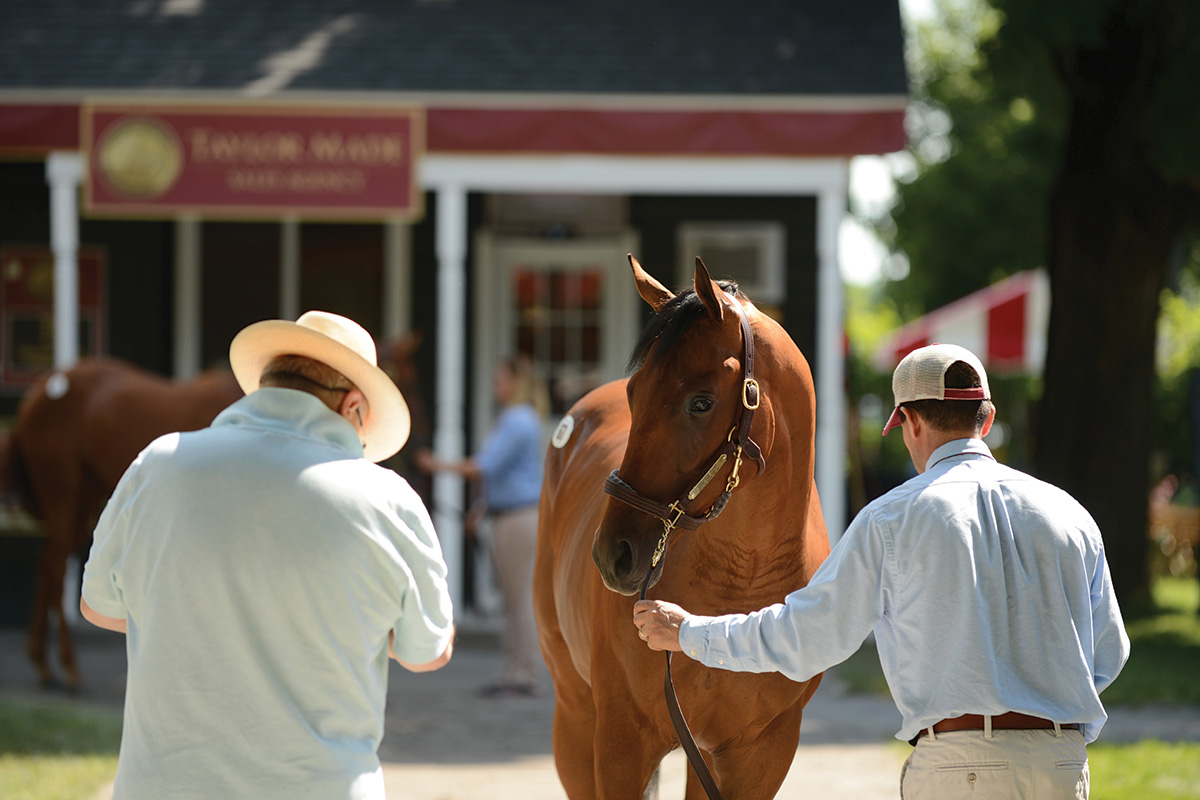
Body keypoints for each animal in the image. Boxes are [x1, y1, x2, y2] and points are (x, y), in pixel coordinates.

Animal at [537, 256, 830, 800]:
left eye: (700, 402)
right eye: (634, 392)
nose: (615, 554)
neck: (740, 578)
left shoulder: (756, 753)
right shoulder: (622, 740)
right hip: (575, 716)